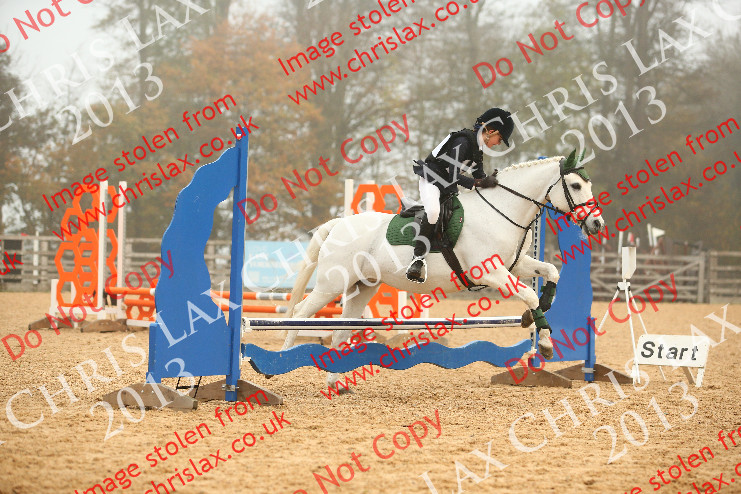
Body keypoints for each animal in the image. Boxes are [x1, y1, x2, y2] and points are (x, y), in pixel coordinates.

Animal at [281, 152, 606, 389]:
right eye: (576, 186)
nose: (596, 224)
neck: (501, 212)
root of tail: (339, 224)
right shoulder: (490, 272)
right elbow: (529, 295)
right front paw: (546, 341)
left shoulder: (516, 263)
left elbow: (550, 272)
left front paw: (538, 318)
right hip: (331, 285)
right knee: (299, 314)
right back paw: (280, 363)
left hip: (362, 287)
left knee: (340, 331)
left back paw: (335, 383)